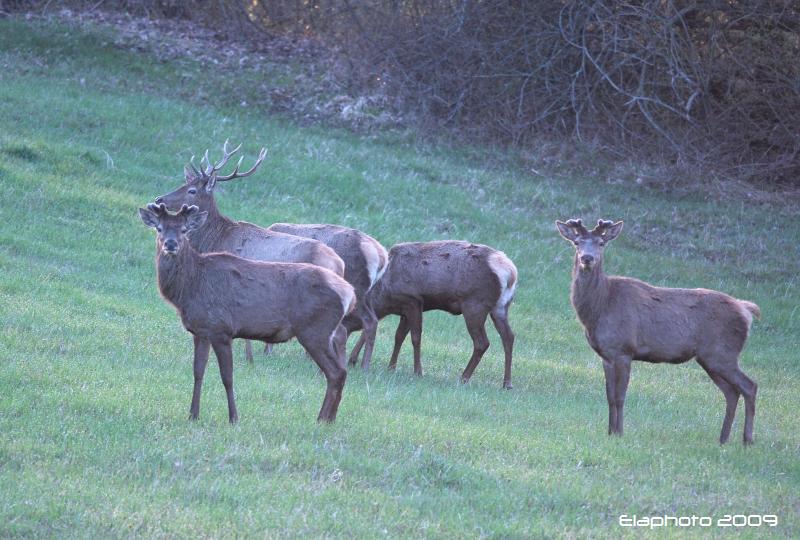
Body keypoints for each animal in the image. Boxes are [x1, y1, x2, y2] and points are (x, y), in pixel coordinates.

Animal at [139, 202, 354, 422]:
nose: (170, 244)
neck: (190, 287)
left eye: (184, 230)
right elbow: (198, 372)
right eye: (159, 228)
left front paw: (233, 417)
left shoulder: (221, 329)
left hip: (315, 330)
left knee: (336, 373)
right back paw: (328, 419)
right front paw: (193, 415)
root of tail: (349, 292)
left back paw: (323, 419)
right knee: (339, 368)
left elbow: (227, 376)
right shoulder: (201, 331)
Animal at [155, 143, 346, 362]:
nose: (159, 199)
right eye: (184, 183)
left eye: (192, 190)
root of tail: (339, 264)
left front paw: (249, 356)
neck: (216, 238)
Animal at [268, 221, 390, 370]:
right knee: (373, 319)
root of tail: (381, 256)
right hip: (367, 295)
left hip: (357, 291)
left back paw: (364, 365)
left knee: (369, 321)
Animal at [350, 240, 520, 388]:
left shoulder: (413, 301)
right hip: (500, 307)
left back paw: (464, 377)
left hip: (474, 305)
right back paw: (507, 383)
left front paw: (418, 371)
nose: (350, 360)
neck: (385, 294)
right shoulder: (405, 310)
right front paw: (391, 366)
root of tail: (510, 273)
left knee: (482, 342)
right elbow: (398, 336)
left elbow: (415, 338)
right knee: (509, 337)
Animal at [552, 218, 760, 442]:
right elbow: (609, 396)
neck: (600, 306)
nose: (587, 258)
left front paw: (619, 433)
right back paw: (723, 439)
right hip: (710, 358)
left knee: (749, 386)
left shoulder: (624, 350)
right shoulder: (606, 355)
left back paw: (747, 439)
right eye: (577, 242)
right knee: (732, 392)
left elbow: (620, 396)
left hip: (723, 353)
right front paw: (609, 432)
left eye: (601, 243)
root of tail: (746, 310)